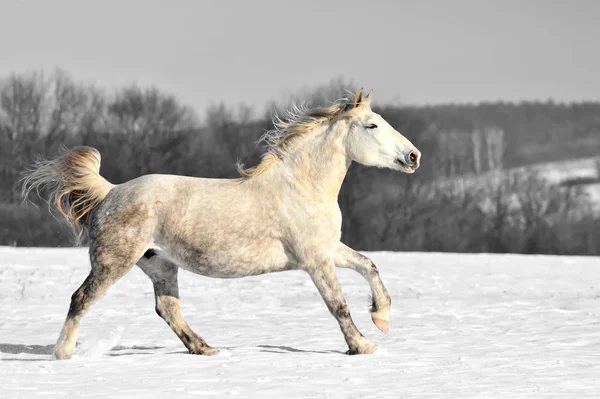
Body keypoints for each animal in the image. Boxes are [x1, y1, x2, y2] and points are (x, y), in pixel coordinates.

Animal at [24, 90, 422, 360]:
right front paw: (364, 345)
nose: (413, 156)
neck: (301, 186)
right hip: (114, 261)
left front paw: (382, 319)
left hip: (159, 264)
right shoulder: (315, 260)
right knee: (82, 298)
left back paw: (206, 349)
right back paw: (64, 354)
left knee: (167, 308)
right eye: (372, 125)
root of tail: (110, 192)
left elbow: (369, 265)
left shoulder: (328, 250)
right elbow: (338, 305)